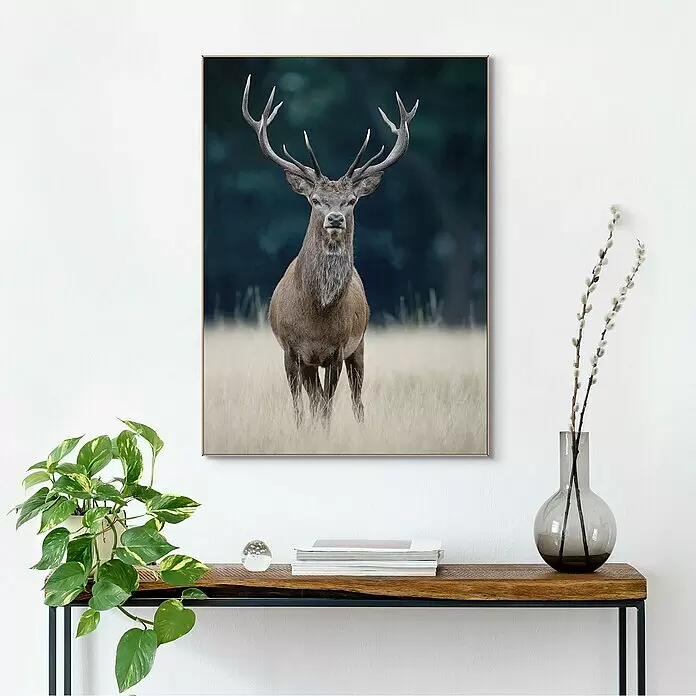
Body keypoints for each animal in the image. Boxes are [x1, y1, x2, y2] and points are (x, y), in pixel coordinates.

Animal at [242, 75, 418, 426]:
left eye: (351, 200)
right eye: (315, 200)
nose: (335, 218)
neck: (317, 315)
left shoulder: (337, 350)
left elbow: (327, 407)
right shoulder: (292, 351)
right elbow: (302, 407)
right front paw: (302, 430)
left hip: (360, 346)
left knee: (356, 400)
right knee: (314, 400)